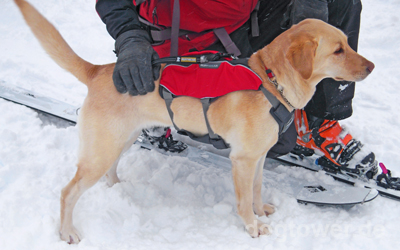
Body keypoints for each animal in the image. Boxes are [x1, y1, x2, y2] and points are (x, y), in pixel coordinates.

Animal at [13, 0, 376, 243]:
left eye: (348, 43)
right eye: (338, 50)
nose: (372, 67)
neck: (271, 81)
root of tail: (99, 70)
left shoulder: (257, 158)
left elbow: (257, 191)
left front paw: (261, 211)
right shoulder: (242, 160)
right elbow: (243, 202)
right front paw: (252, 227)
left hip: (120, 141)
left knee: (109, 172)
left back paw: (118, 189)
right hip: (100, 151)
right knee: (67, 192)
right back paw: (67, 231)